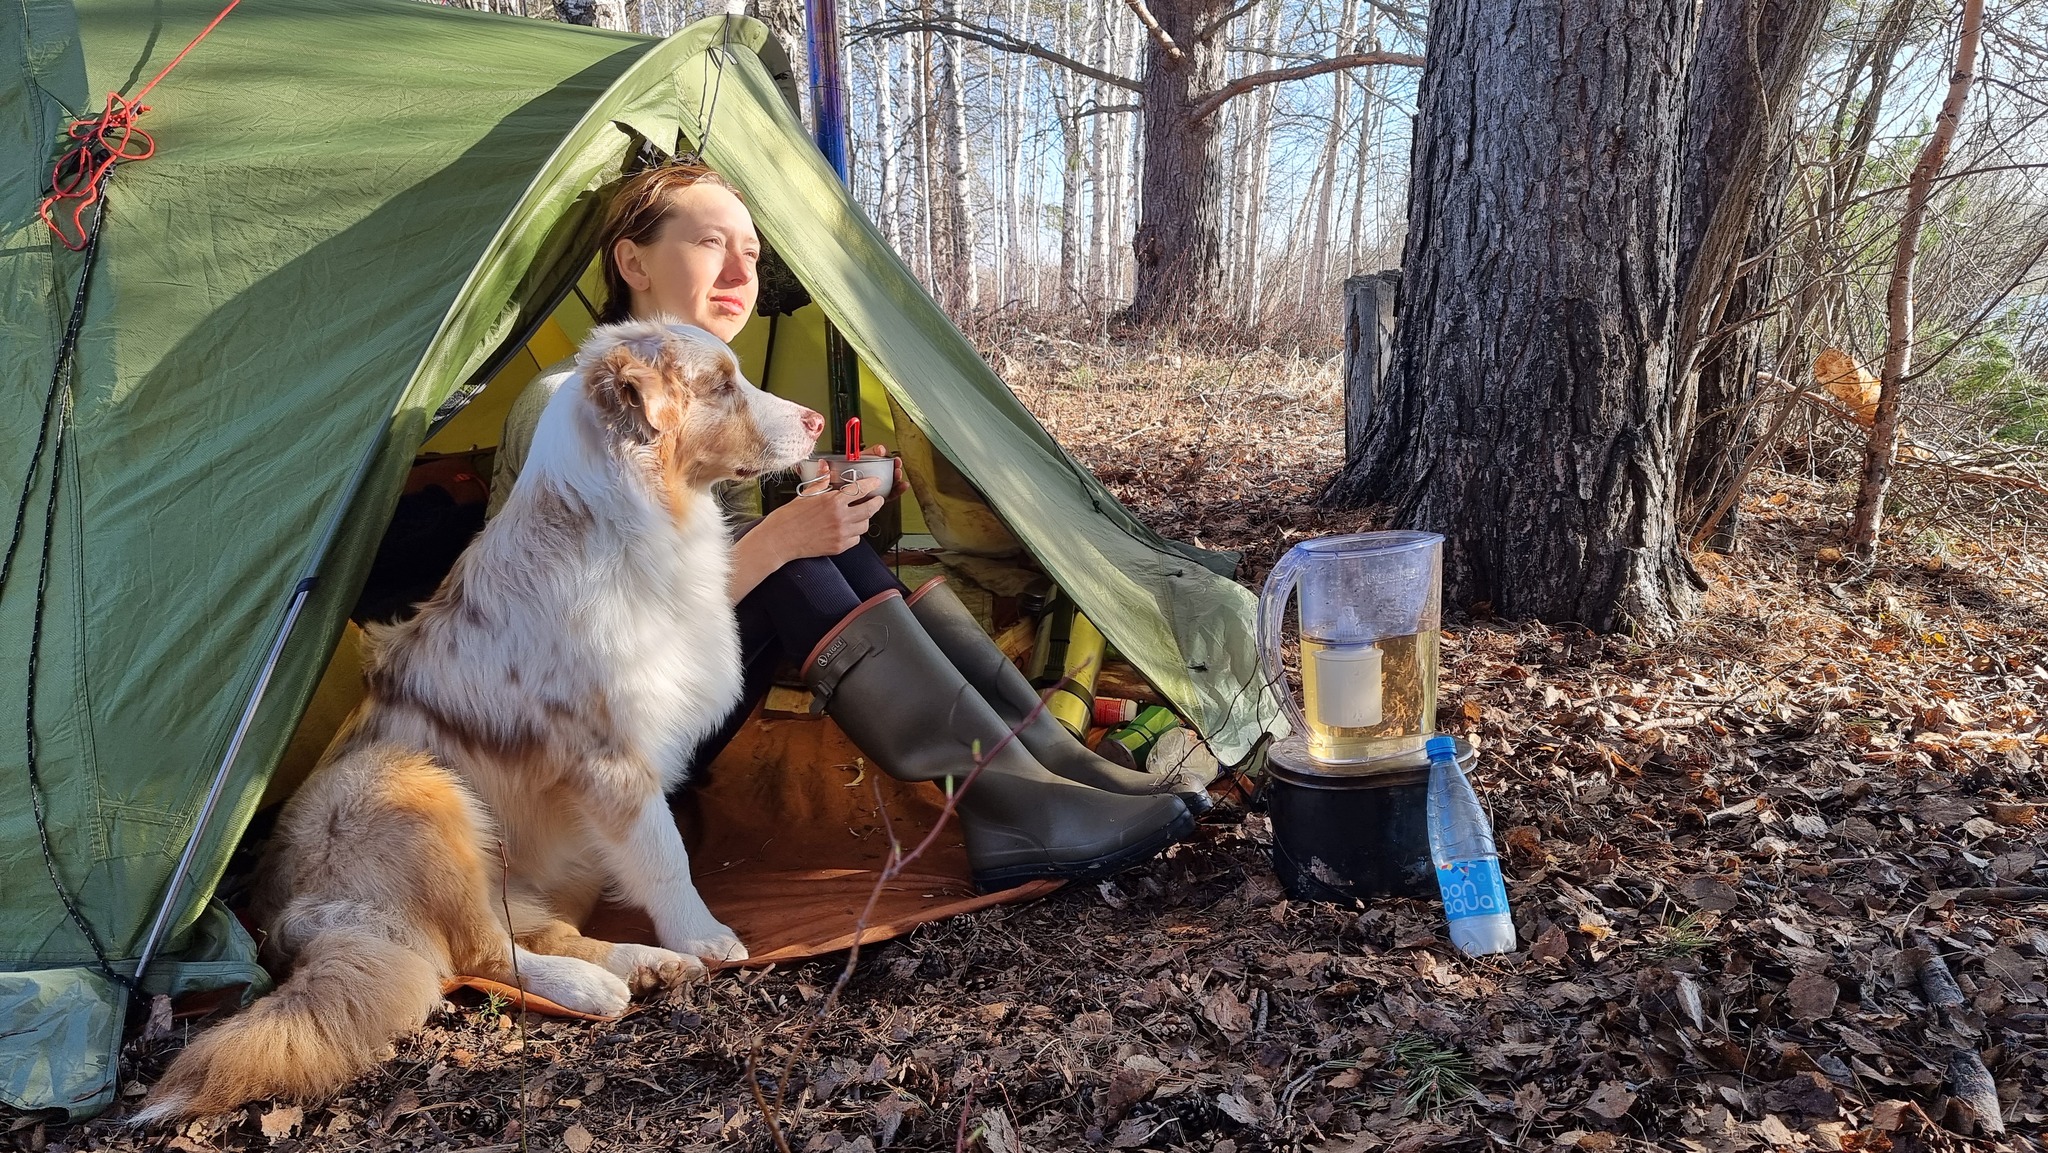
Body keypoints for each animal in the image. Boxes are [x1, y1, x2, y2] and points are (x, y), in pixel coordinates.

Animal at [132, 319, 823, 1122]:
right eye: (719, 384)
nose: (816, 421)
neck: (625, 515)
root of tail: (288, 917)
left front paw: (684, 944)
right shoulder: (610, 757)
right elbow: (665, 856)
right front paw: (706, 934)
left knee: (537, 933)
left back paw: (647, 965)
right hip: (406, 785)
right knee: (480, 955)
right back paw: (603, 984)